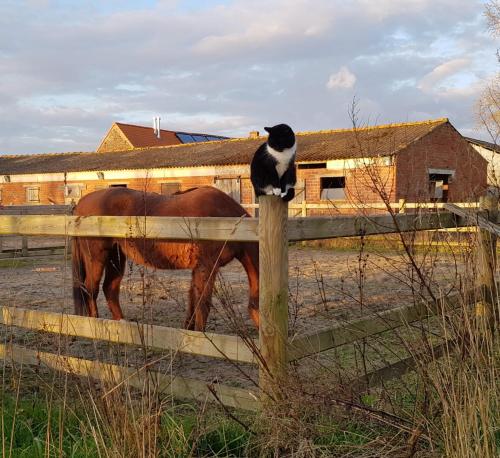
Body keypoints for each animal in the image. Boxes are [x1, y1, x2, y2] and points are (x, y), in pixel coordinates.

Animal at [72, 184, 260, 330]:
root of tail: (81, 203)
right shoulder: (207, 267)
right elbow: (203, 304)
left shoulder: (198, 268)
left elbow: (193, 300)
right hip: (97, 259)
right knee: (90, 289)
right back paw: (94, 325)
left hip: (116, 259)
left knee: (110, 289)